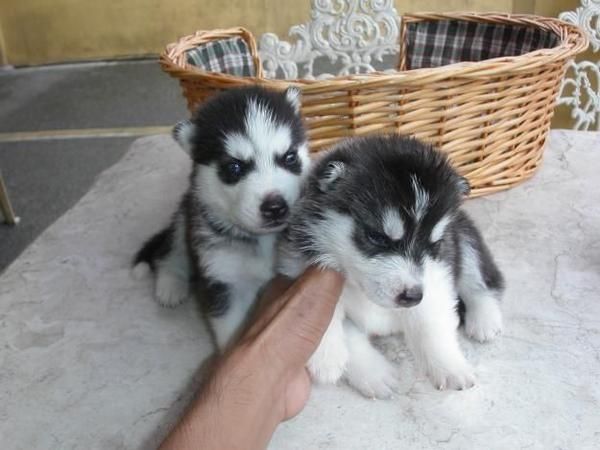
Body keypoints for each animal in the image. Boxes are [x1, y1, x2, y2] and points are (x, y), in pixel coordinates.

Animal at [135, 86, 310, 350]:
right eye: (234, 167)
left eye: (289, 157)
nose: (275, 207)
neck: (263, 241)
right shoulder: (223, 278)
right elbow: (231, 333)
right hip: (185, 215)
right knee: (170, 250)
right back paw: (170, 285)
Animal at [278, 134, 504, 398]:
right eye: (377, 237)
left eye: (434, 244)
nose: (413, 297)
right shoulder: (295, 267)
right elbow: (341, 326)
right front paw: (337, 360)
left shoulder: (436, 275)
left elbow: (432, 323)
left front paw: (449, 366)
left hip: (464, 237)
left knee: (483, 281)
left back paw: (485, 321)